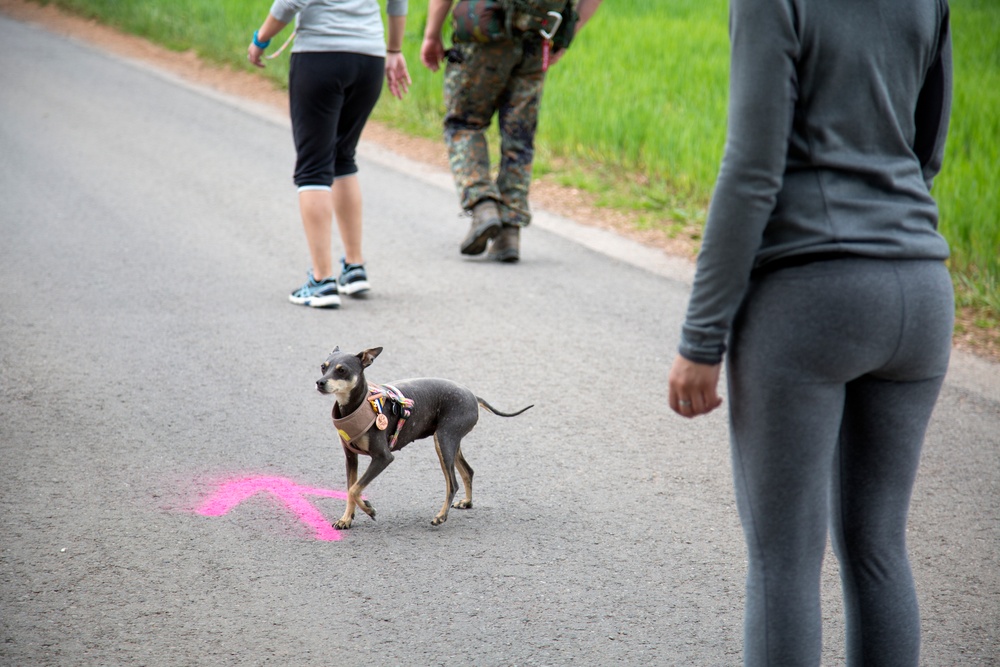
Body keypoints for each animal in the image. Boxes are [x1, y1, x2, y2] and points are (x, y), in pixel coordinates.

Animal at [318, 348, 536, 528]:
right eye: (323, 367)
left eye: (342, 370)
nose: (319, 382)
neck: (358, 406)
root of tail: (474, 396)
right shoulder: (350, 457)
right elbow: (351, 488)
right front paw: (346, 519)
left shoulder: (383, 457)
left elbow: (355, 489)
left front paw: (369, 509)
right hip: (450, 441)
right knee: (468, 471)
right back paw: (467, 502)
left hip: (444, 440)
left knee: (453, 484)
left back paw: (441, 516)